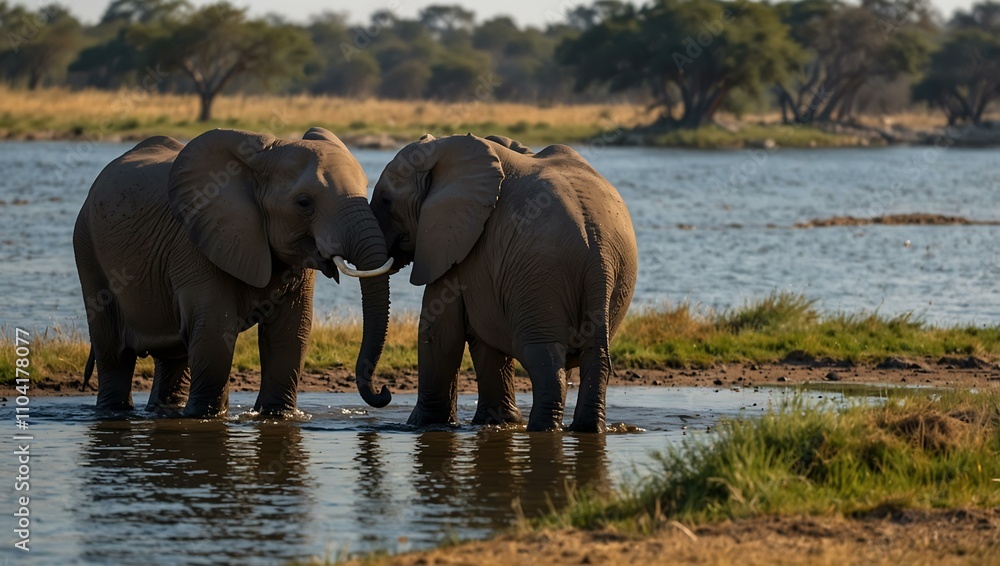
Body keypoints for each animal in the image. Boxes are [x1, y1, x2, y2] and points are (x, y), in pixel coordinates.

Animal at [74, 127, 394, 417]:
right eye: (304, 203)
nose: (384, 392)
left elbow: (291, 332)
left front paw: (278, 416)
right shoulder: (197, 242)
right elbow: (215, 331)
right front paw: (205, 417)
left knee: (173, 354)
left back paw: (165, 411)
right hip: (87, 246)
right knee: (114, 350)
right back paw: (115, 412)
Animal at [370, 133, 638, 432]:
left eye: (386, 201)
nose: (383, 392)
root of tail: (597, 256)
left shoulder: (461, 248)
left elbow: (438, 330)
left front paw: (421, 426)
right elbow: (483, 342)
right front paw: (498, 422)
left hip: (540, 278)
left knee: (545, 361)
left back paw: (542, 430)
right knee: (595, 360)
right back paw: (585, 430)